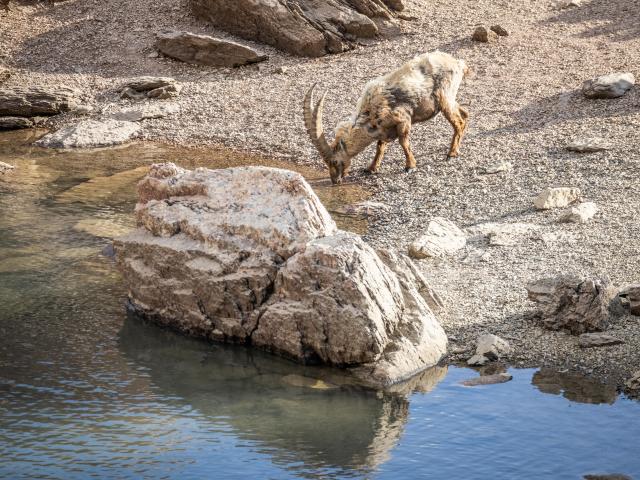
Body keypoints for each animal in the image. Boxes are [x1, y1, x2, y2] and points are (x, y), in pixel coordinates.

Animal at [302, 49, 468, 183]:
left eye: (335, 161)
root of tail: (458, 63)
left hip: (444, 98)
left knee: (458, 121)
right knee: (465, 113)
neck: (369, 112)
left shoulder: (403, 119)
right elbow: (380, 147)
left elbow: (403, 142)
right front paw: (371, 168)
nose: (335, 180)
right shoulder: (383, 128)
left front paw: (410, 166)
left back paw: (452, 153)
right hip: (450, 99)